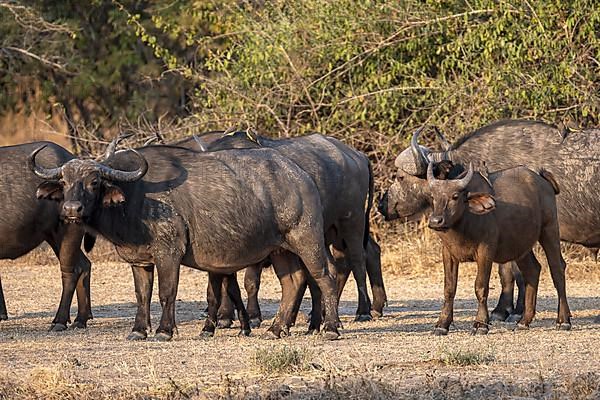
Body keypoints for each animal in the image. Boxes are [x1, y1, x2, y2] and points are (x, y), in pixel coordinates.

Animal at [0, 142, 91, 330]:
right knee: (84, 265)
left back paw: (60, 321)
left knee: (72, 270)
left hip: (67, 233)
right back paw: (80, 319)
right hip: (54, 238)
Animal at [30, 144, 342, 340]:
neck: (136, 196)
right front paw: (138, 330)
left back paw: (330, 328)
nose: (71, 210)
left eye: (94, 182)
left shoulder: (169, 254)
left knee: (326, 275)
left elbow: (167, 292)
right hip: (280, 250)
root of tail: (301, 177)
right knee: (294, 282)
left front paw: (164, 331)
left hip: (307, 239)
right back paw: (276, 329)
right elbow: (142, 295)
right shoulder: (139, 261)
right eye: (65, 181)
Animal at [426, 162, 568, 334]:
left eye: (455, 196)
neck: (464, 225)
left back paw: (563, 321)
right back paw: (524, 321)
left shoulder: (485, 252)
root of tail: (543, 180)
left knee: (557, 269)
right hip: (521, 245)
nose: (436, 221)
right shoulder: (448, 253)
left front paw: (481, 324)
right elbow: (449, 288)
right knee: (533, 271)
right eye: (433, 197)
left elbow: (480, 287)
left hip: (550, 230)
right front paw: (442, 324)